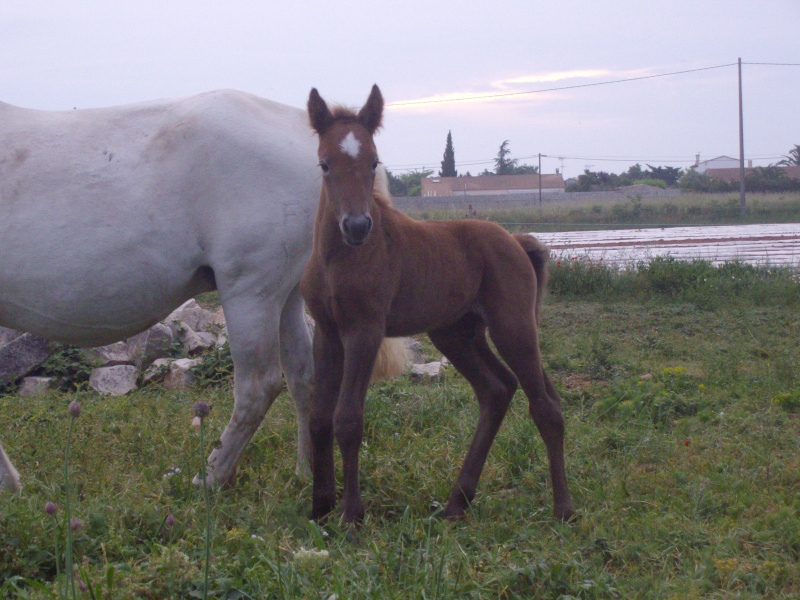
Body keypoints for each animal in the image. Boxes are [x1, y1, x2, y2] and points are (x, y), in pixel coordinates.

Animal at [2, 89, 324, 492]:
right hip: (287, 296)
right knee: (303, 377)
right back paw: (305, 474)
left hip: (252, 291)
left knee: (258, 387)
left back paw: (210, 478)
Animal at [302, 85, 576, 524]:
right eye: (325, 164)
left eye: (374, 161)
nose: (357, 226)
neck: (338, 258)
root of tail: (516, 241)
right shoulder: (327, 332)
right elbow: (318, 418)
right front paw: (320, 508)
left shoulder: (364, 331)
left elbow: (348, 419)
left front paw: (351, 516)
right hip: (457, 334)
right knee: (497, 389)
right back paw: (457, 501)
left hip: (513, 327)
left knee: (545, 406)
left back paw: (563, 508)